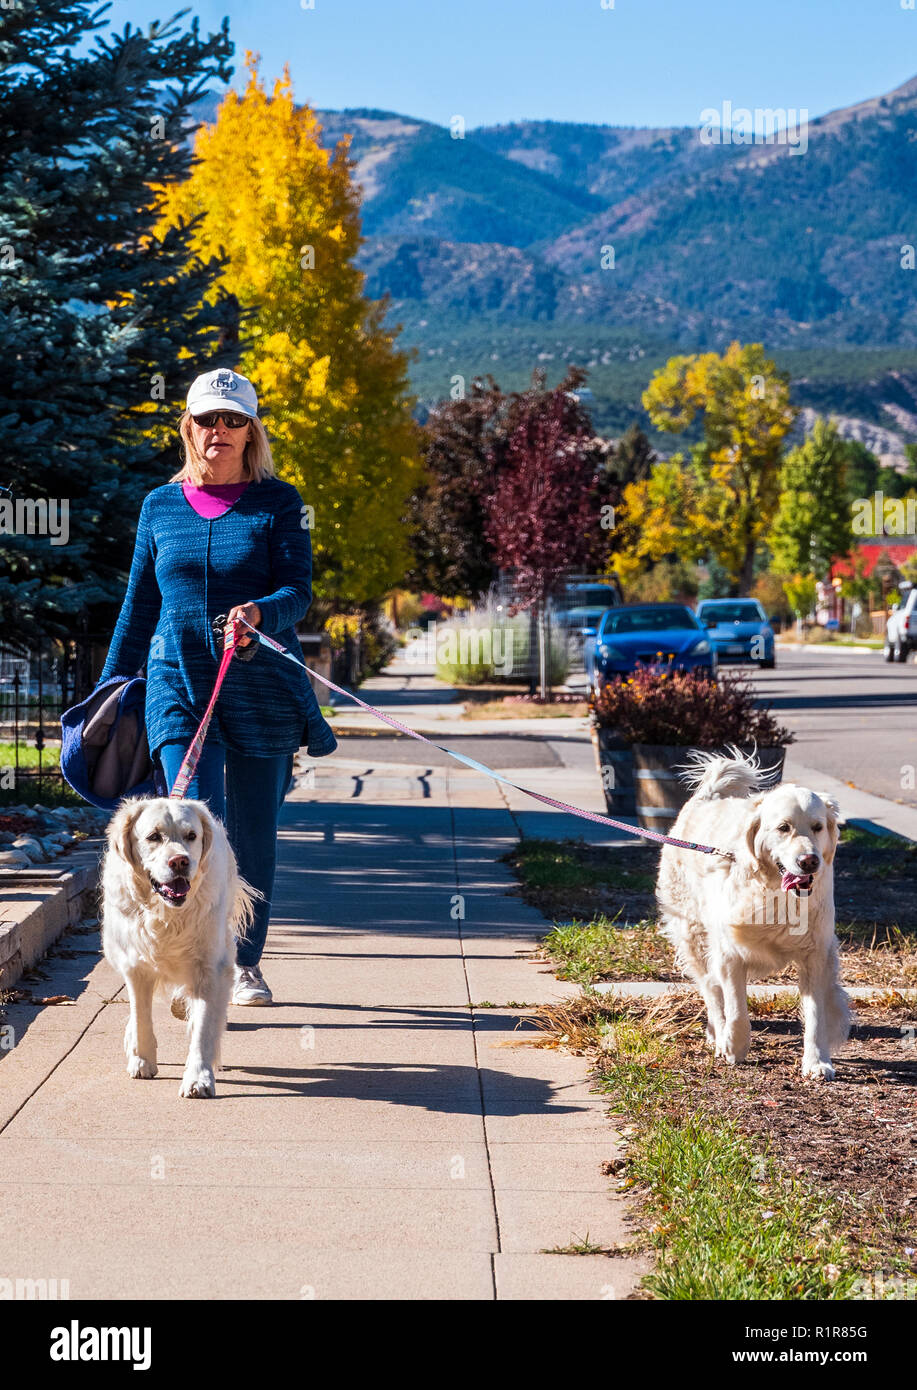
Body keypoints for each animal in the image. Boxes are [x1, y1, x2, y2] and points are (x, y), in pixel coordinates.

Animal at [101, 800, 254, 1100]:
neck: (167, 915)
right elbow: (141, 1016)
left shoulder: (210, 968)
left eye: (191, 836)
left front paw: (198, 1078)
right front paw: (142, 1060)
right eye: (153, 837)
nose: (180, 861)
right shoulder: (136, 966)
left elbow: (203, 1028)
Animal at [655, 756, 850, 1078]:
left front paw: (817, 1061)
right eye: (783, 828)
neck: (773, 893)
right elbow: (736, 1008)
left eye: (818, 827)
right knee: (711, 990)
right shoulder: (729, 953)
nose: (809, 861)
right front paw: (733, 1046)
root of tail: (708, 795)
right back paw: (718, 1033)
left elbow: (816, 1014)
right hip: (693, 934)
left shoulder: (816, 954)